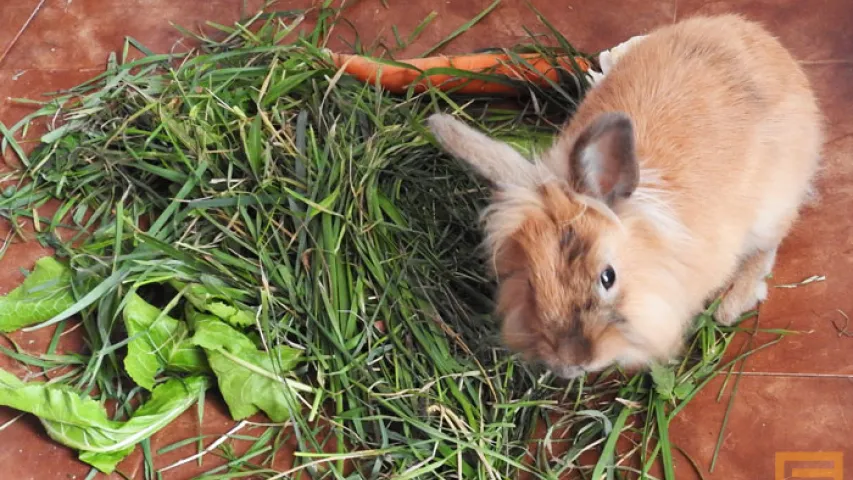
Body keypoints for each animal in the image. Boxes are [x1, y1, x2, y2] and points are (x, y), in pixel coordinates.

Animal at [430, 14, 824, 378]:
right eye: (530, 281)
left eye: (608, 277)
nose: (571, 362)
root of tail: (764, 40)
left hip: (772, 207)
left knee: (766, 248)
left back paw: (730, 305)